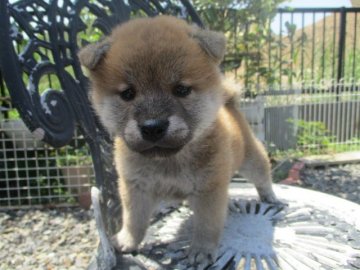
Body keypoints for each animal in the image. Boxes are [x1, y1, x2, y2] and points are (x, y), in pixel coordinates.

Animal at [79, 15, 278, 266]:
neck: (169, 161)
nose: (153, 127)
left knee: (262, 176)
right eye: (127, 94)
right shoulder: (135, 188)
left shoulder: (209, 190)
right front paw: (128, 240)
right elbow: (134, 220)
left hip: (250, 159)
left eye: (181, 90)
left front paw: (201, 250)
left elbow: (207, 225)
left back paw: (270, 196)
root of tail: (229, 103)